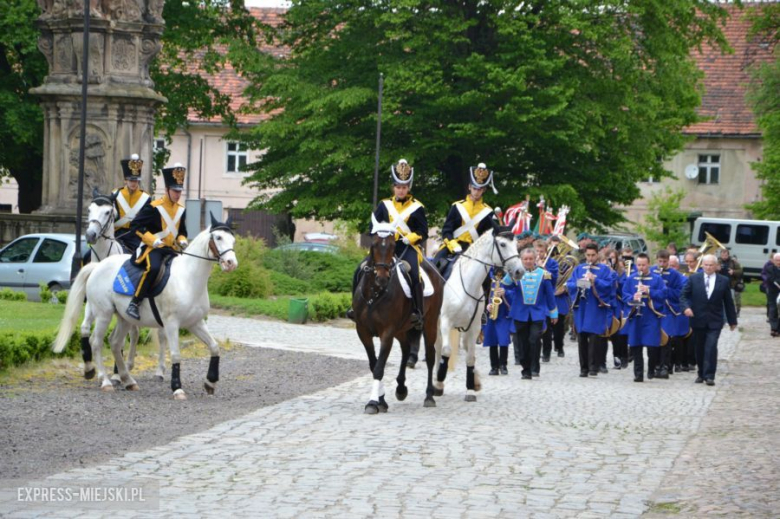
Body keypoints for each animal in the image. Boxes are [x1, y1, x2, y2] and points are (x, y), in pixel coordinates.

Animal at [52, 217, 238, 400]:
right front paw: (177, 388)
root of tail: (98, 266)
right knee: (96, 342)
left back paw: (127, 380)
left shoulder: (195, 323)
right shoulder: (171, 323)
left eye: (233, 240)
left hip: (123, 318)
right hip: (103, 314)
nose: (231, 263)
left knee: (115, 343)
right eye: (218, 237)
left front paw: (210, 382)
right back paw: (105, 381)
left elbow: (214, 347)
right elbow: (176, 354)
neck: (188, 278)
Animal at [354, 223, 444, 414]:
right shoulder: (363, 331)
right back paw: (401, 388)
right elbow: (374, 364)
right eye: (373, 245)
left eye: (392, 246)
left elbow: (379, 368)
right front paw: (381, 400)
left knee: (430, 357)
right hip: (402, 328)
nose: (382, 278)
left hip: (430, 323)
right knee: (405, 349)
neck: (375, 293)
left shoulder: (387, 332)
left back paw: (429, 396)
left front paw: (372, 402)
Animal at [432, 230, 524, 404]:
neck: (467, 285)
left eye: (516, 244)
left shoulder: (474, 327)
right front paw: (439, 384)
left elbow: (470, 357)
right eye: (503, 244)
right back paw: (435, 381)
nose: (519, 271)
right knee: (438, 347)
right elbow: (446, 351)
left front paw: (470, 388)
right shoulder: (446, 322)